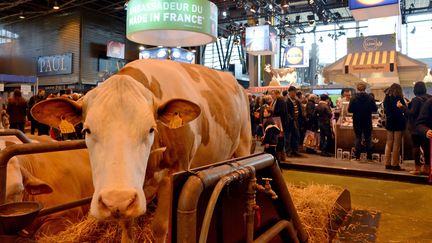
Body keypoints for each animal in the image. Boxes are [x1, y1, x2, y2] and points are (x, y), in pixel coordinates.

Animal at [32, 59, 251, 241]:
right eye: (86, 130)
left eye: (151, 129)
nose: (114, 200)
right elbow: (128, 229)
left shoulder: (173, 173)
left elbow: (159, 228)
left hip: (244, 143)